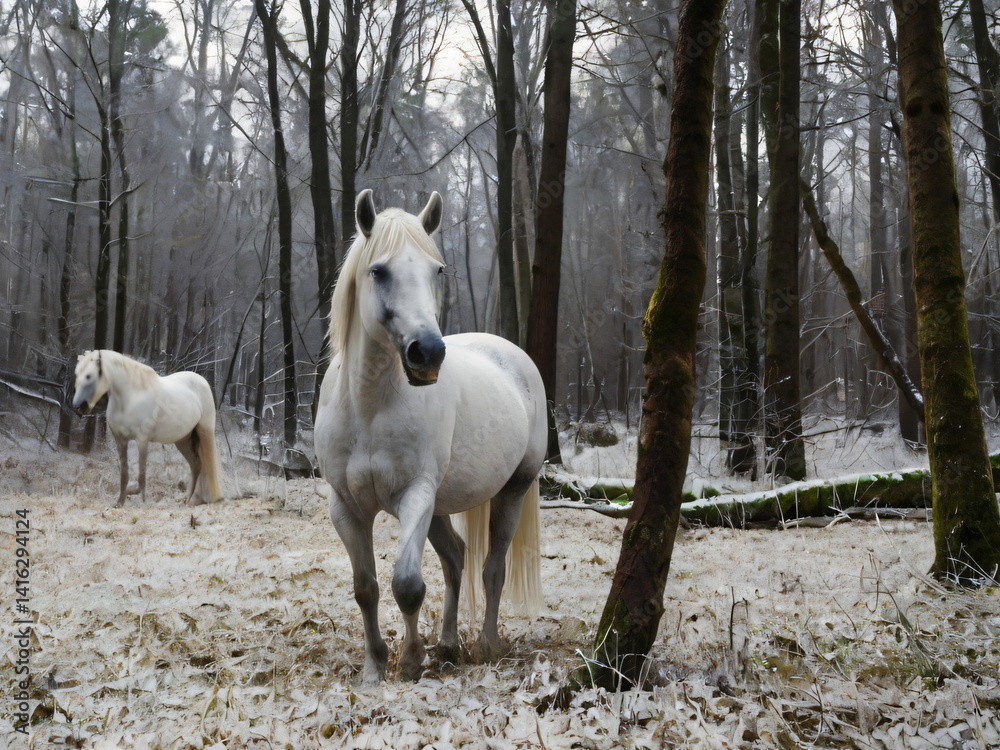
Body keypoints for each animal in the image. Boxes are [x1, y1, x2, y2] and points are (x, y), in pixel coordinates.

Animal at [72, 350, 224, 508]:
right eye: (77, 374)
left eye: (89, 376)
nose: (78, 407)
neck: (130, 399)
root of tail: (201, 380)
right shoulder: (121, 441)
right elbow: (124, 474)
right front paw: (120, 502)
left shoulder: (142, 440)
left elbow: (141, 476)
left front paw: (139, 498)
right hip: (183, 439)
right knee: (196, 464)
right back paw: (188, 499)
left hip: (204, 431)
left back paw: (193, 499)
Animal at [314, 189, 546, 685]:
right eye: (378, 271)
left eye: (436, 270)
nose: (429, 353)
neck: (369, 408)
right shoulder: (345, 506)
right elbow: (366, 588)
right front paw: (374, 668)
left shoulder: (415, 495)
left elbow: (407, 584)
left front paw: (410, 659)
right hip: (440, 505)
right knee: (456, 559)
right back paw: (448, 644)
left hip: (511, 492)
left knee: (491, 569)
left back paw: (485, 645)